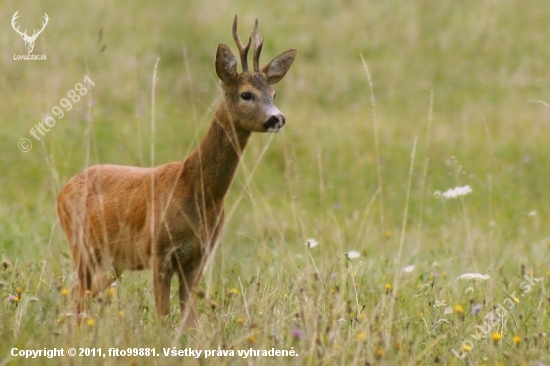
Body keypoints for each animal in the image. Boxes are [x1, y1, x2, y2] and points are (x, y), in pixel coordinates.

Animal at [57, 15, 298, 328]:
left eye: (273, 93)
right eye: (247, 94)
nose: (277, 118)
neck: (198, 192)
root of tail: (62, 190)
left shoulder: (198, 255)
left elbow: (190, 321)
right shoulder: (159, 250)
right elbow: (163, 317)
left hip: (112, 262)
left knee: (77, 292)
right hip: (81, 246)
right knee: (77, 294)